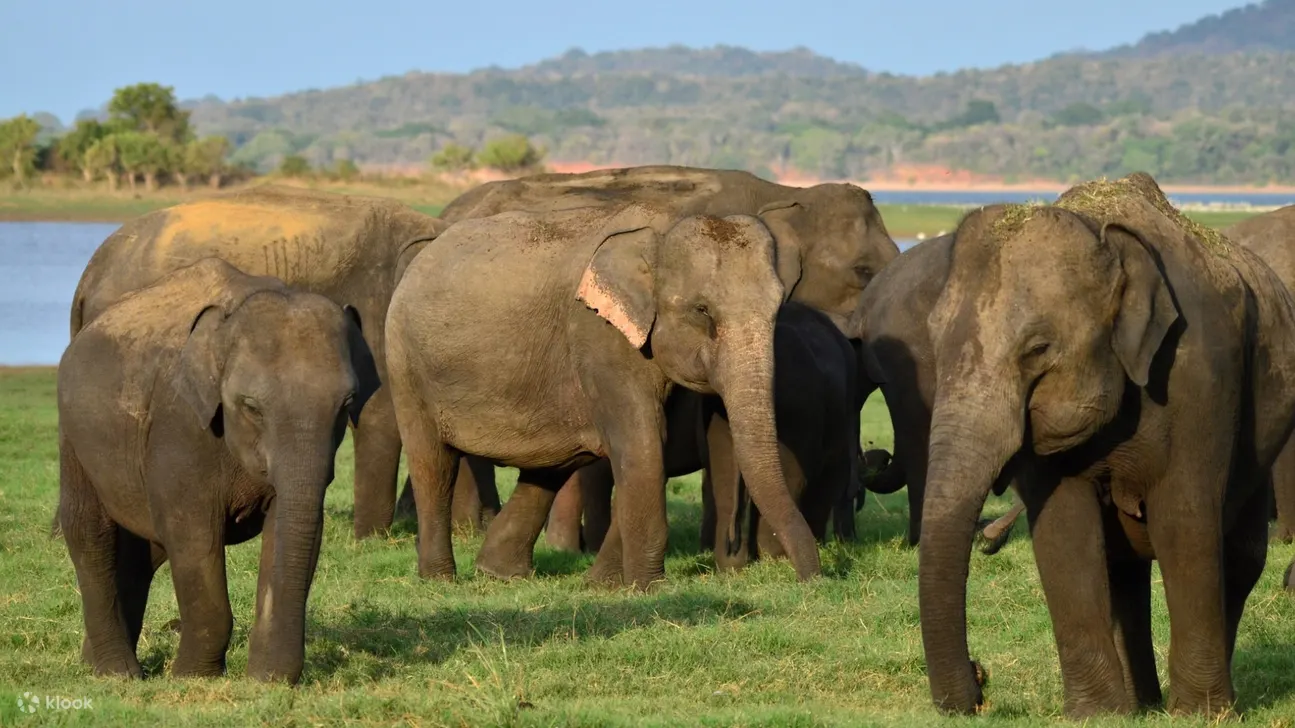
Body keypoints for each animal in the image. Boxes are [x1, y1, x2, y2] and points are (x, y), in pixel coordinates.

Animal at [56, 257, 380, 684]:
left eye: (347, 403)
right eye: (252, 406)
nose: (279, 678)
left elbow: (289, 527)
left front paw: (264, 680)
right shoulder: (180, 425)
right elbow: (192, 533)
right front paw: (192, 677)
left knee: (141, 552)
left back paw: (94, 661)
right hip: (73, 434)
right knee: (89, 532)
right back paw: (117, 672)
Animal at [384, 203, 821, 590]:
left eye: (777, 307)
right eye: (702, 310)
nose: (810, 581)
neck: (661, 230)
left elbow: (657, 446)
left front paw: (604, 586)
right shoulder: (600, 334)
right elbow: (643, 444)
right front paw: (646, 588)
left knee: (550, 465)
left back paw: (500, 574)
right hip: (406, 365)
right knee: (432, 463)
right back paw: (440, 579)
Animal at [917, 173, 1295, 718]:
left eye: (1038, 349)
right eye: (934, 342)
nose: (981, 678)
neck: (1101, 233)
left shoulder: (1200, 376)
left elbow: (1184, 520)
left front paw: (1198, 715)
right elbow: (1064, 531)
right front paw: (1097, 715)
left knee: (1239, 555)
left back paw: (1204, 703)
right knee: (1124, 569)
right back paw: (1141, 704)